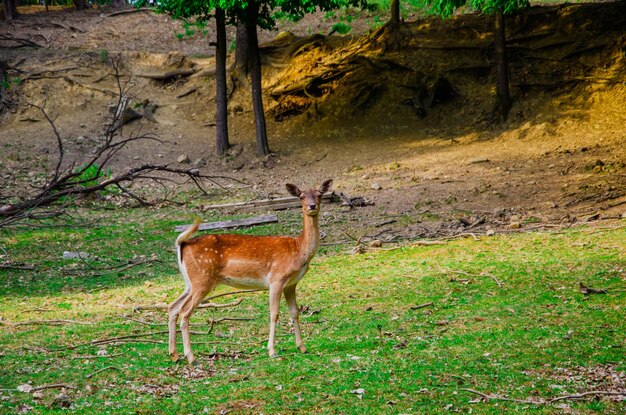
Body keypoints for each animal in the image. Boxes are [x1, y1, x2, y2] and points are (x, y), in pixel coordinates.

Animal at [166, 179, 332, 364]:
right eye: (301, 196)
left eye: (319, 194)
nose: (312, 206)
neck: (299, 250)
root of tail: (182, 244)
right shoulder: (277, 278)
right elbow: (274, 313)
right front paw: (272, 351)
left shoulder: (291, 284)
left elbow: (294, 313)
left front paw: (302, 347)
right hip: (202, 279)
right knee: (184, 312)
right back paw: (190, 356)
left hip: (190, 282)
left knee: (173, 307)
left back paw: (174, 354)